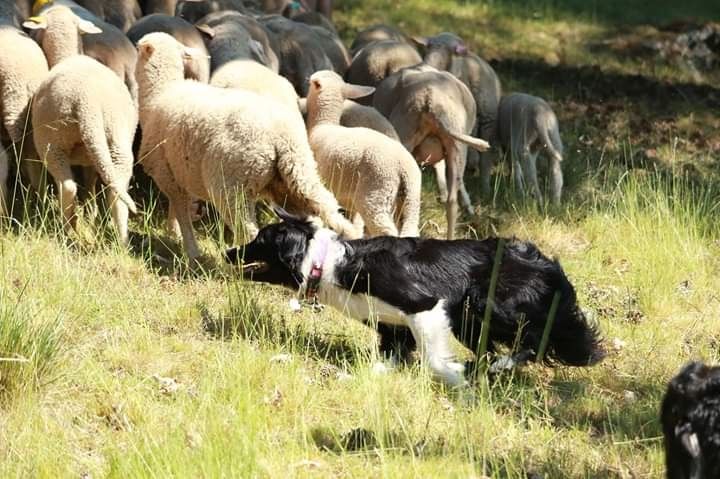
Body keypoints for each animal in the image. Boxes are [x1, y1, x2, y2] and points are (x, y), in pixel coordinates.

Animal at [25, 8, 138, 244]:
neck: (66, 55)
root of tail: (88, 104)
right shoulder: (92, 154)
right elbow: (91, 180)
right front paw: (92, 209)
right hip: (116, 140)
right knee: (116, 190)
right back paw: (122, 240)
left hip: (53, 142)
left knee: (67, 186)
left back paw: (68, 228)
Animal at [136, 31, 358, 260]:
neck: (161, 91)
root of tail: (283, 138)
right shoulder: (180, 172)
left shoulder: (166, 172)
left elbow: (180, 210)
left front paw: (187, 247)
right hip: (297, 180)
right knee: (322, 213)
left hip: (231, 184)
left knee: (247, 229)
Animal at [306, 69, 422, 238]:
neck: (323, 124)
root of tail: (403, 168)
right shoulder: (351, 203)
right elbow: (356, 226)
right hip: (410, 200)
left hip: (376, 192)